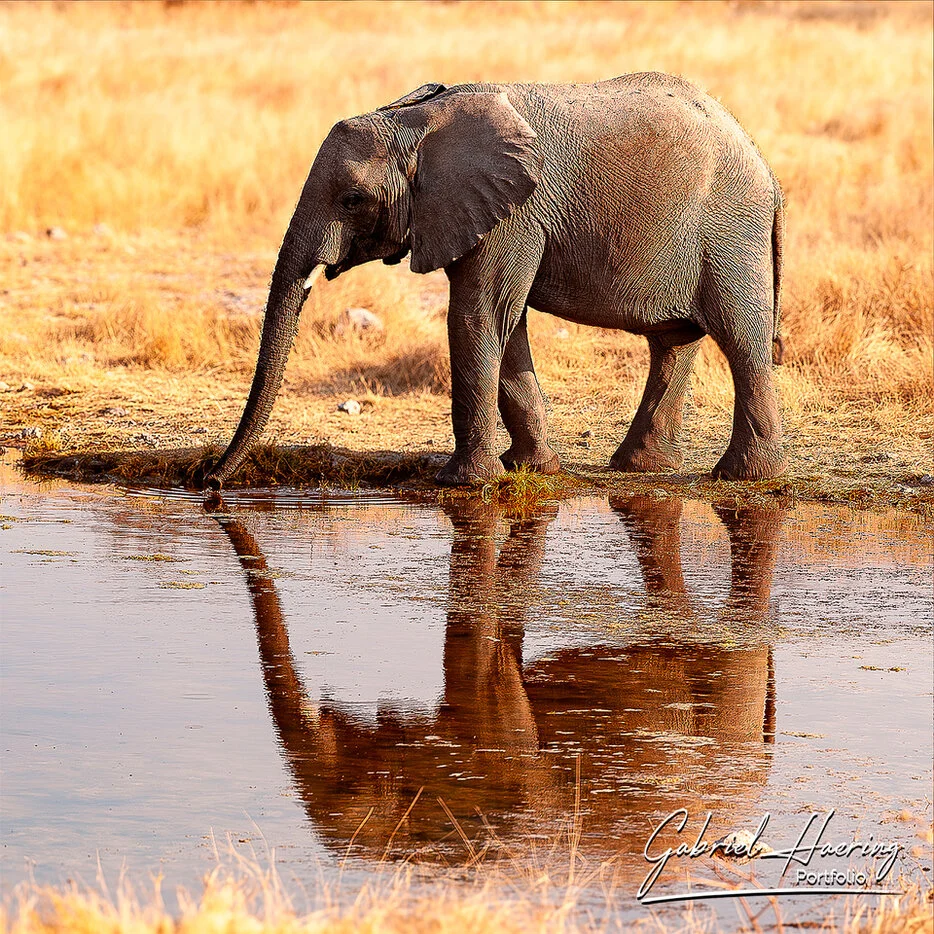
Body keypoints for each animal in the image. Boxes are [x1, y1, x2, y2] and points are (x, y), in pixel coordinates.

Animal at [205, 72, 786, 490]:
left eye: (352, 199)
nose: (210, 482)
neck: (416, 121)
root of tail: (765, 165)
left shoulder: (514, 212)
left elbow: (476, 315)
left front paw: (463, 482)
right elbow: (506, 322)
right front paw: (532, 468)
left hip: (730, 229)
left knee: (740, 340)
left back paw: (743, 476)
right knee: (673, 342)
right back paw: (639, 468)